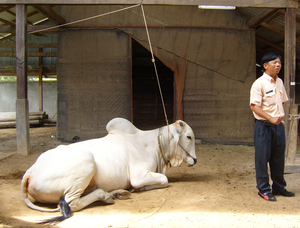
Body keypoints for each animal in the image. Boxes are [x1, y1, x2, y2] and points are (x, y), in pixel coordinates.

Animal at [20, 117, 197, 219]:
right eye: (188, 136)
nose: (194, 160)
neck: (151, 144)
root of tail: (30, 171)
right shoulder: (139, 175)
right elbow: (164, 180)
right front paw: (140, 188)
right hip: (86, 162)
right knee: (72, 202)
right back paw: (106, 195)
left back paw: (117, 193)